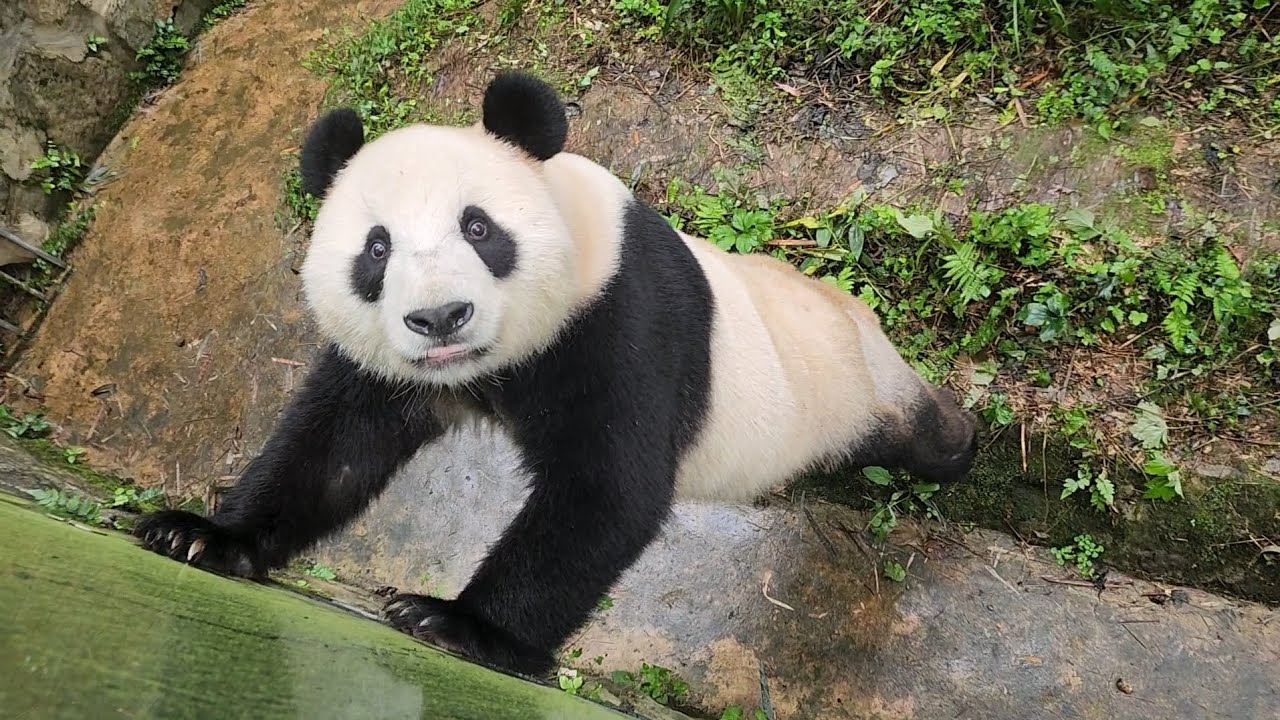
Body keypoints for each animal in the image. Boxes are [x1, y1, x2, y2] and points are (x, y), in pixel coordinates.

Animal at [135, 70, 977, 677]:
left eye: (479, 228)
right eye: (376, 248)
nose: (441, 317)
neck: (489, 369)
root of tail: (851, 305)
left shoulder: (620, 317)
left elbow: (607, 489)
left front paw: (456, 623)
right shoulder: (391, 367)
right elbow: (334, 449)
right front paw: (202, 536)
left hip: (851, 384)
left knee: (914, 429)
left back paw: (963, 441)